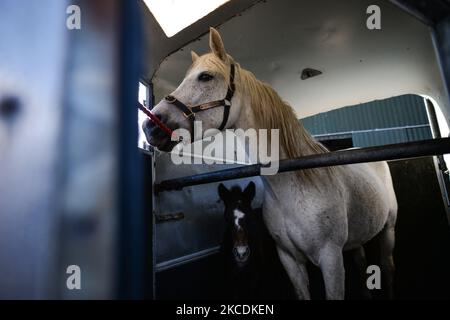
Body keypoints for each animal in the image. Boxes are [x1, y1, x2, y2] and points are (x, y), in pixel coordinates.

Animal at [143, 28, 398, 300]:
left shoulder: (331, 260)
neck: (294, 185)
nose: (149, 125)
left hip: (388, 230)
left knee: (387, 266)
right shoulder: (289, 259)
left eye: (205, 76)